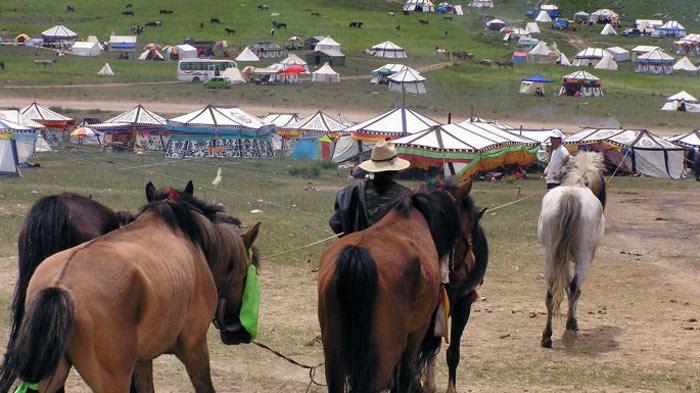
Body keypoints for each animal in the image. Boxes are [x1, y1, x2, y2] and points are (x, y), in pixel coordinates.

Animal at [1, 182, 262, 390]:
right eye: (250, 272)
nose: (240, 333)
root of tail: (60, 286)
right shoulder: (194, 346)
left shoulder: (142, 360)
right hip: (112, 380)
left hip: (51, 373)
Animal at [540, 152, 604, 348]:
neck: (578, 183)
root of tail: (571, 196)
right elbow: (574, 290)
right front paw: (573, 322)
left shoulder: (564, 259)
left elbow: (566, 287)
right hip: (584, 258)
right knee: (575, 289)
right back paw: (569, 328)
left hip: (550, 256)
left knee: (551, 291)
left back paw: (547, 336)